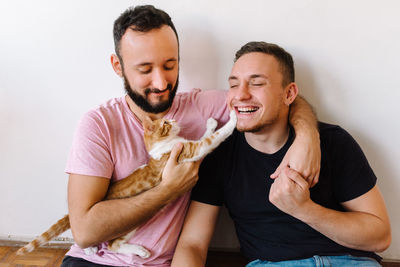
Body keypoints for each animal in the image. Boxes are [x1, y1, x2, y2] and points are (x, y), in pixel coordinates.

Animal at [17, 110, 238, 258]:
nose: (175, 119)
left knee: (114, 244)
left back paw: (137, 251)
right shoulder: (192, 150)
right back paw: (93, 248)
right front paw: (234, 119)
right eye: (166, 122)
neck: (162, 146)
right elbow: (213, 138)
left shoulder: (189, 146)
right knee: (103, 240)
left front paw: (211, 123)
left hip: (131, 223)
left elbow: (205, 133)